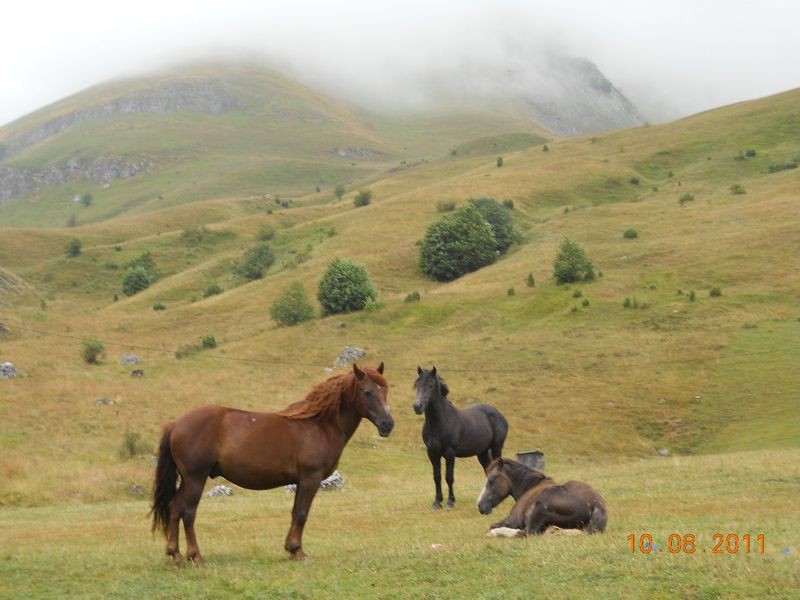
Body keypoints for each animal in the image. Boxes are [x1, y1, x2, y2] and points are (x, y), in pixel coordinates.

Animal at [151, 364, 394, 564]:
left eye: (385, 391)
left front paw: (291, 549)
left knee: (174, 508)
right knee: (188, 512)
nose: (388, 424)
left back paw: (176, 555)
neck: (318, 425)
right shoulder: (310, 478)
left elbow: (295, 512)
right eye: (367, 392)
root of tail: (175, 424)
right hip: (195, 478)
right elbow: (302, 513)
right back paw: (196, 556)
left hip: (187, 479)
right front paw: (298, 551)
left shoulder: (300, 481)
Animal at [412, 368, 506, 508]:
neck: (440, 421)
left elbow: (449, 477)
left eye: (431, 385)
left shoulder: (450, 453)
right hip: (482, 453)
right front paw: (437, 502)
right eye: (417, 385)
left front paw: (450, 501)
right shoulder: (432, 453)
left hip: (496, 448)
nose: (417, 407)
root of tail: (499, 414)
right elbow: (437, 477)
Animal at [476, 458, 608, 536]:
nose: (480, 505)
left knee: (525, 533)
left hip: (539, 507)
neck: (530, 486)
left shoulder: (513, 520)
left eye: (491, 479)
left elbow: (491, 526)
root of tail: (596, 504)